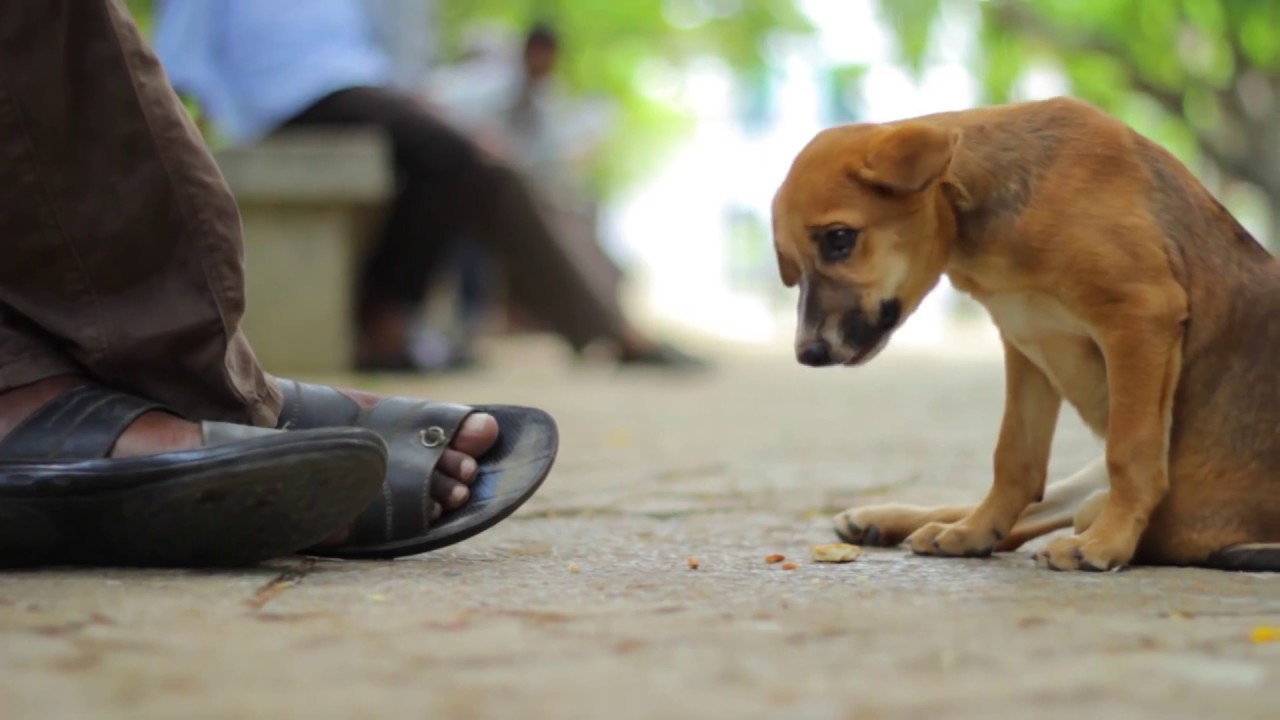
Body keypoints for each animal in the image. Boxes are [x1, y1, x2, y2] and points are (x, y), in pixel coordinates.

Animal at [768, 95, 1280, 568]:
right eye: (790, 270)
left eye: (839, 239)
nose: (808, 353)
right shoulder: (1026, 343)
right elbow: (1015, 460)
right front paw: (977, 530)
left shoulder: (1141, 316)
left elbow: (1130, 453)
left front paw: (1107, 541)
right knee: (1045, 505)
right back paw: (912, 522)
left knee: (1083, 504)